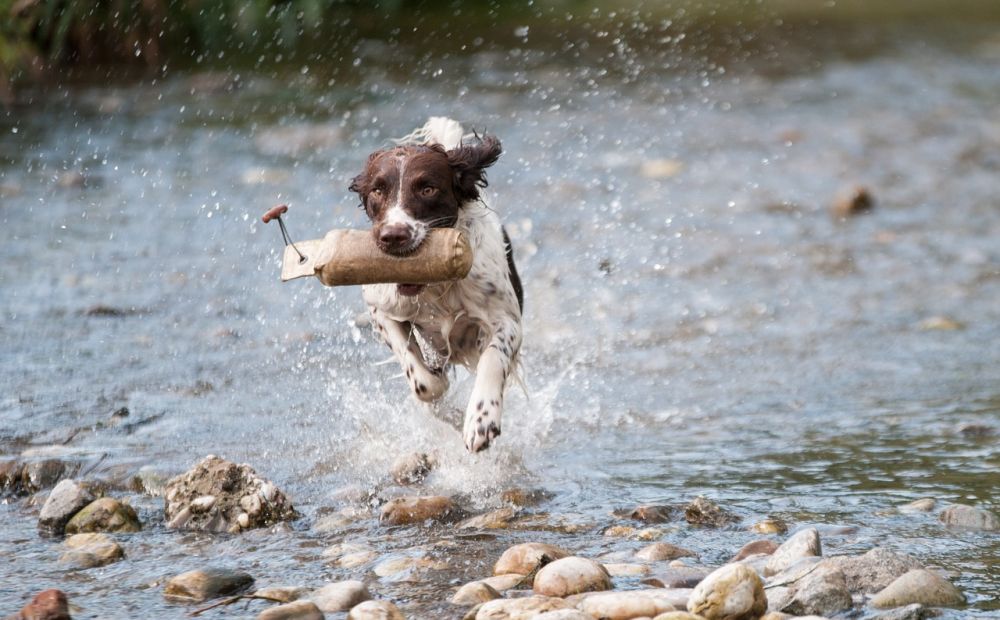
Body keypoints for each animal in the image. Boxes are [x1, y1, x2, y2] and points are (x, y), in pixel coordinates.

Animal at [350, 118, 524, 452]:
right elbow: (423, 382)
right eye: (377, 190)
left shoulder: (506, 320)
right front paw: (443, 397)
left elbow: (494, 358)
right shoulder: (381, 309)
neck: (435, 287)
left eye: (427, 189)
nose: (393, 236)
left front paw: (481, 420)